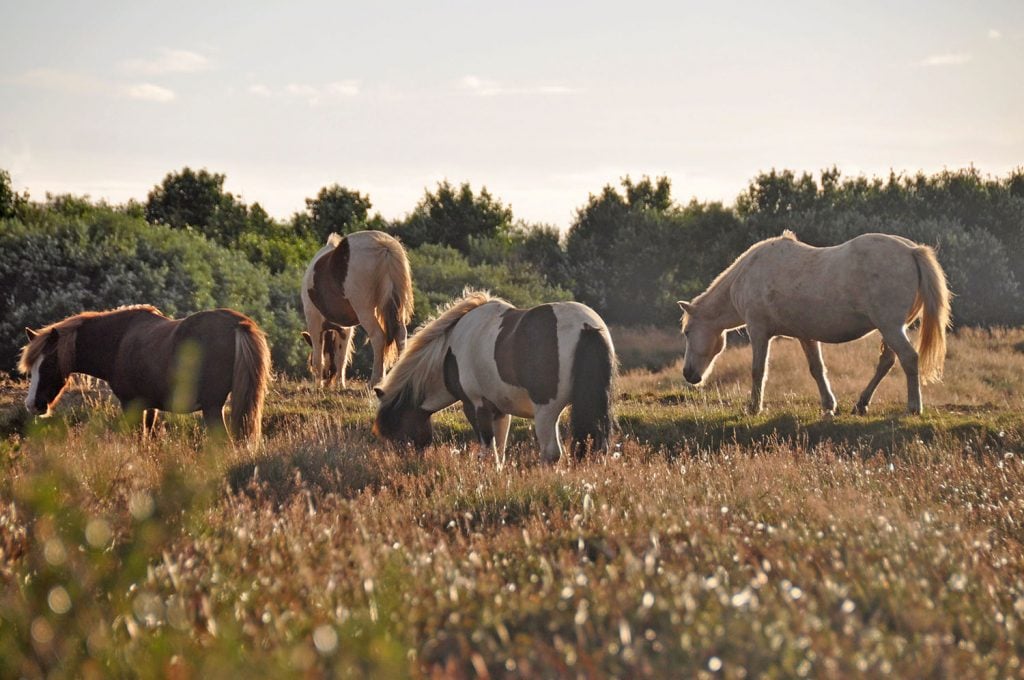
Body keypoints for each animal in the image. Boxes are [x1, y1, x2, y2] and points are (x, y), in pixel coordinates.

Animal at [24, 305, 272, 444]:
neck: (118, 340)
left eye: (48, 364)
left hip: (212, 407)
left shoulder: (131, 404)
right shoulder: (149, 407)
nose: (32, 404)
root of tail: (238, 323)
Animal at [301, 229, 413, 385]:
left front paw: (318, 386)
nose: (328, 380)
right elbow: (341, 358)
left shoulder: (314, 323)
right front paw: (340, 385)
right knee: (401, 335)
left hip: (365, 312)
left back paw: (375, 380)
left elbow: (319, 358)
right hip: (397, 310)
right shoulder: (344, 329)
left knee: (378, 337)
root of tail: (384, 246)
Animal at [374, 288, 618, 464]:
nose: (407, 463)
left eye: (396, 433)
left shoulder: (475, 406)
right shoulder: (500, 411)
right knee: (597, 447)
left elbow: (487, 451)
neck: (448, 353)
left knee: (551, 454)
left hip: (546, 411)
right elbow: (499, 451)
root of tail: (587, 327)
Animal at [679, 231, 950, 413]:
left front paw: (754, 408)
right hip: (892, 328)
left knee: (909, 358)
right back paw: (861, 404)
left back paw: (914, 407)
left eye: (687, 332)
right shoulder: (806, 335)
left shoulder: (759, 331)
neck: (747, 274)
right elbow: (817, 369)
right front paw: (829, 405)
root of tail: (911, 251)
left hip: (891, 327)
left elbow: (758, 370)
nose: (688, 374)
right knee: (887, 362)